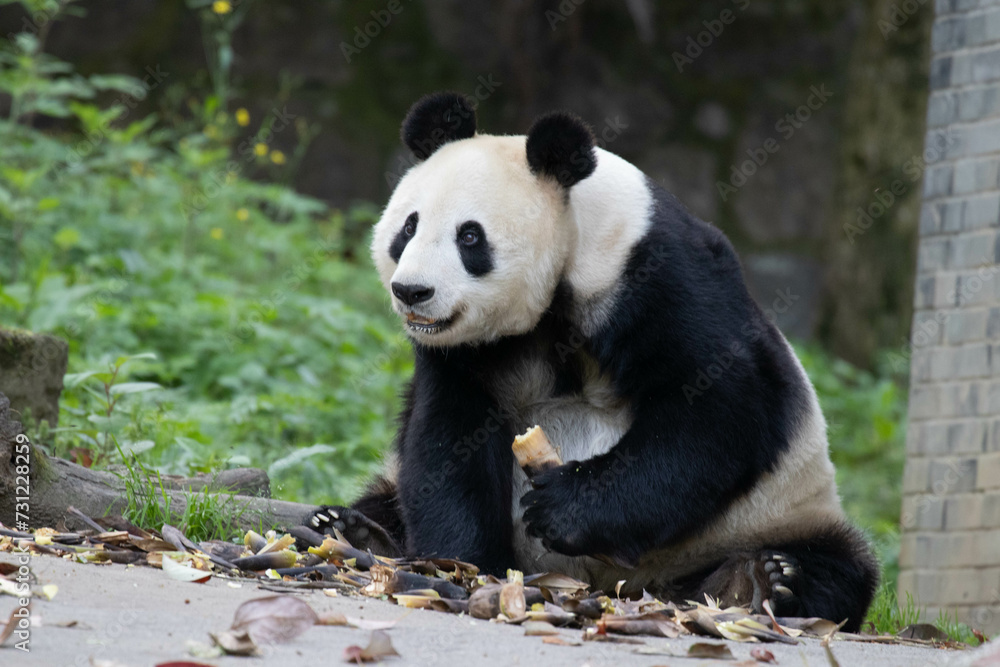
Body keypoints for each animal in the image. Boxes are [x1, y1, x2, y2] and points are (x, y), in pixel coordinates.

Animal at [305, 91, 879, 630]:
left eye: (469, 236)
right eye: (408, 228)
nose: (412, 291)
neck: (568, 257)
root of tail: (617, 585)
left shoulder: (658, 271)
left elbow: (721, 403)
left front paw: (561, 509)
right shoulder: (463, 353)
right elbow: (450, 435)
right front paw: (460, 563)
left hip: (775, 512)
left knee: (838, 567)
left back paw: (759, 581)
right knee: (384, 494)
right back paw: (355, 531)